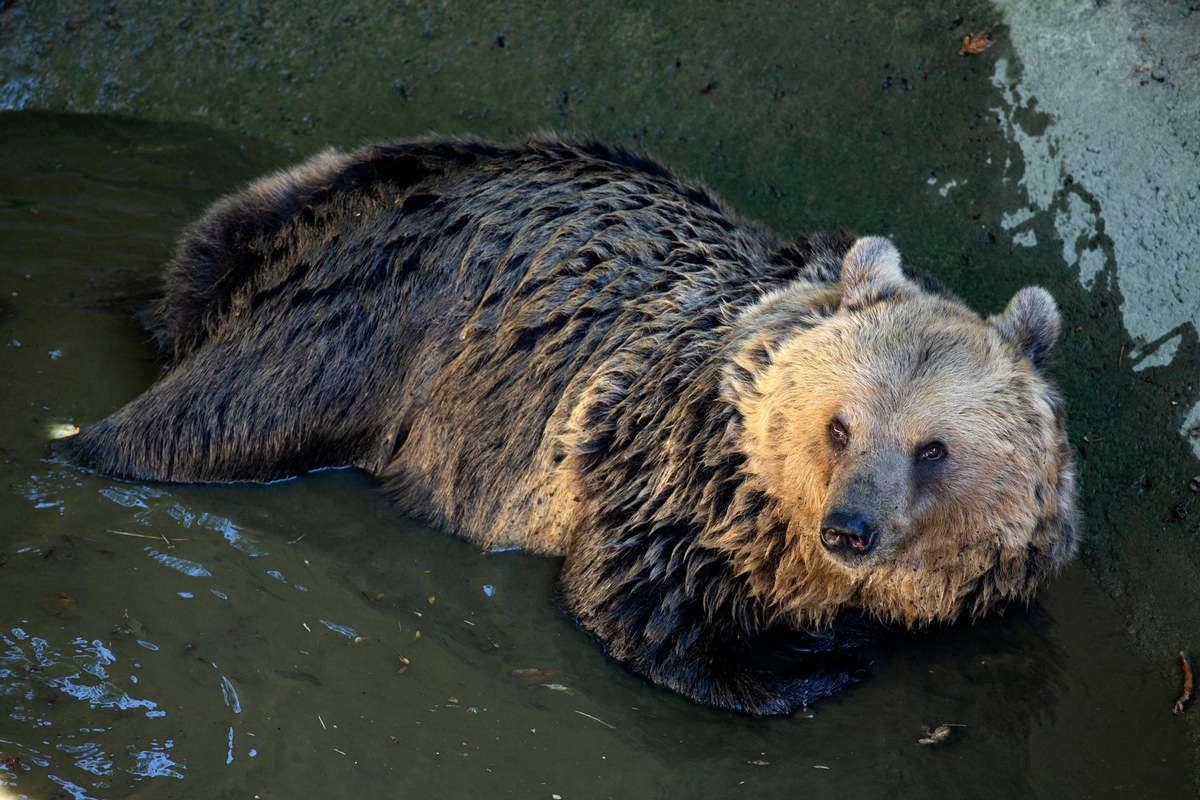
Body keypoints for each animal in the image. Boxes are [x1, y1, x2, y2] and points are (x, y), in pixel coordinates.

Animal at [60, 136, 1084, 714]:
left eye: (932, 448)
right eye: (840, 425)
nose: (852, 527)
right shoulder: (670, 473)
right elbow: (638, 605)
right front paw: (810, 663)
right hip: (353, 336)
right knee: (198, 423)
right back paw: (92, 444)